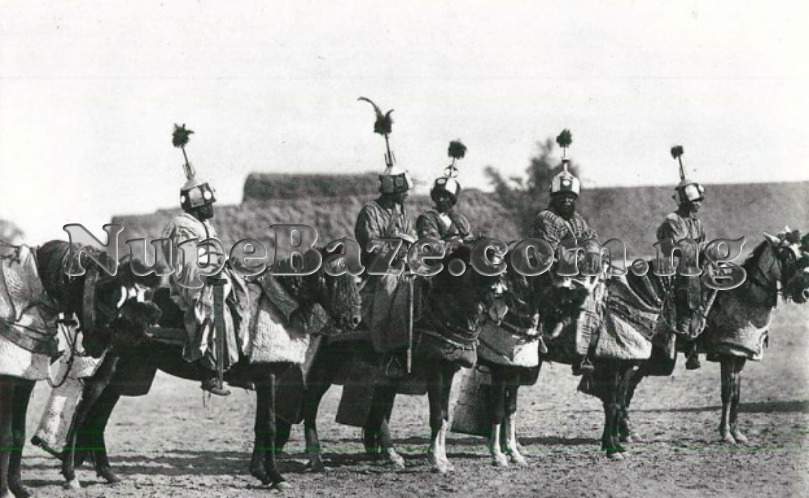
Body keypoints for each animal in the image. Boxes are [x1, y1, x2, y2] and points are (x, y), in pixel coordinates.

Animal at [0, 241, 159, 498]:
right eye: (108, 294)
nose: (134, 335)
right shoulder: (7, 378)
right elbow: (5, 435)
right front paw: (5, 491)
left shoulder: (25, 379)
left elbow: (18, 433)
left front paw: (18, 487)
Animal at [56, 249, 360, 490]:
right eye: (336, 276)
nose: (354, 320)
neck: (277, 305)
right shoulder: (269, 377)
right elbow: (271, 426)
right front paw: (275, 476)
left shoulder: (264, 380)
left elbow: (261, 426)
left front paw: (260, 473)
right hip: (107, 367)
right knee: (84, 409)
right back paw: (70, 473)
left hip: (122, 374)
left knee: (99, 415)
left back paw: (107, 472)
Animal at [276, 243, 504, 472]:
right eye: (481, 265)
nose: (499, 298)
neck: (439, 306)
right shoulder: (434, 369)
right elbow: (437, 417)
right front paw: (437, 460)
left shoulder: (447, 371)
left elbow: (445, 416)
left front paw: (443, 459)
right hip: (326, 365)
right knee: (310, 404)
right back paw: (315, 457)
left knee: (378, 410)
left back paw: (391, 455)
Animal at [612, 232, 808, 448]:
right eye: (787, 255)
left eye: (803, 251)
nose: (804, 292)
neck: (744, 297)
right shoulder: (728, 354)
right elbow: (727, 394)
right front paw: (726, 434)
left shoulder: (740, 356)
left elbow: (736, 395)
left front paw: (737, 433)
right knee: (622, 387)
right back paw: (625, 432)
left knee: (627, 387)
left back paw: (626, 433)